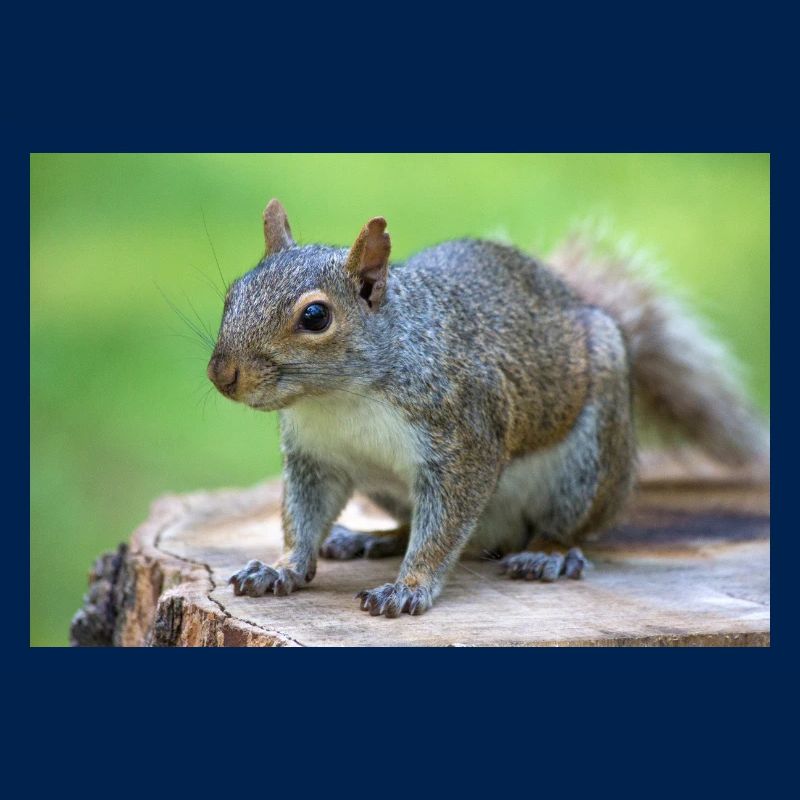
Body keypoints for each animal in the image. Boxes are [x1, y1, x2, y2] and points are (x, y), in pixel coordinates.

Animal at [207, 199, 768, 617]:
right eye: (234, 293)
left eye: (316, 316)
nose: (221, 374)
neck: (338, 399)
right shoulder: (316, 457)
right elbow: (303, 516)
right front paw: (281, 567)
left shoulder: (464, 438)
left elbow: (443, 527)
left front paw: (409, 588)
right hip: (387, 488)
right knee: (415, 523)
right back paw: (372, 539)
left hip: (589, 463)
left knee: (566, 527)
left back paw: (546, 556)